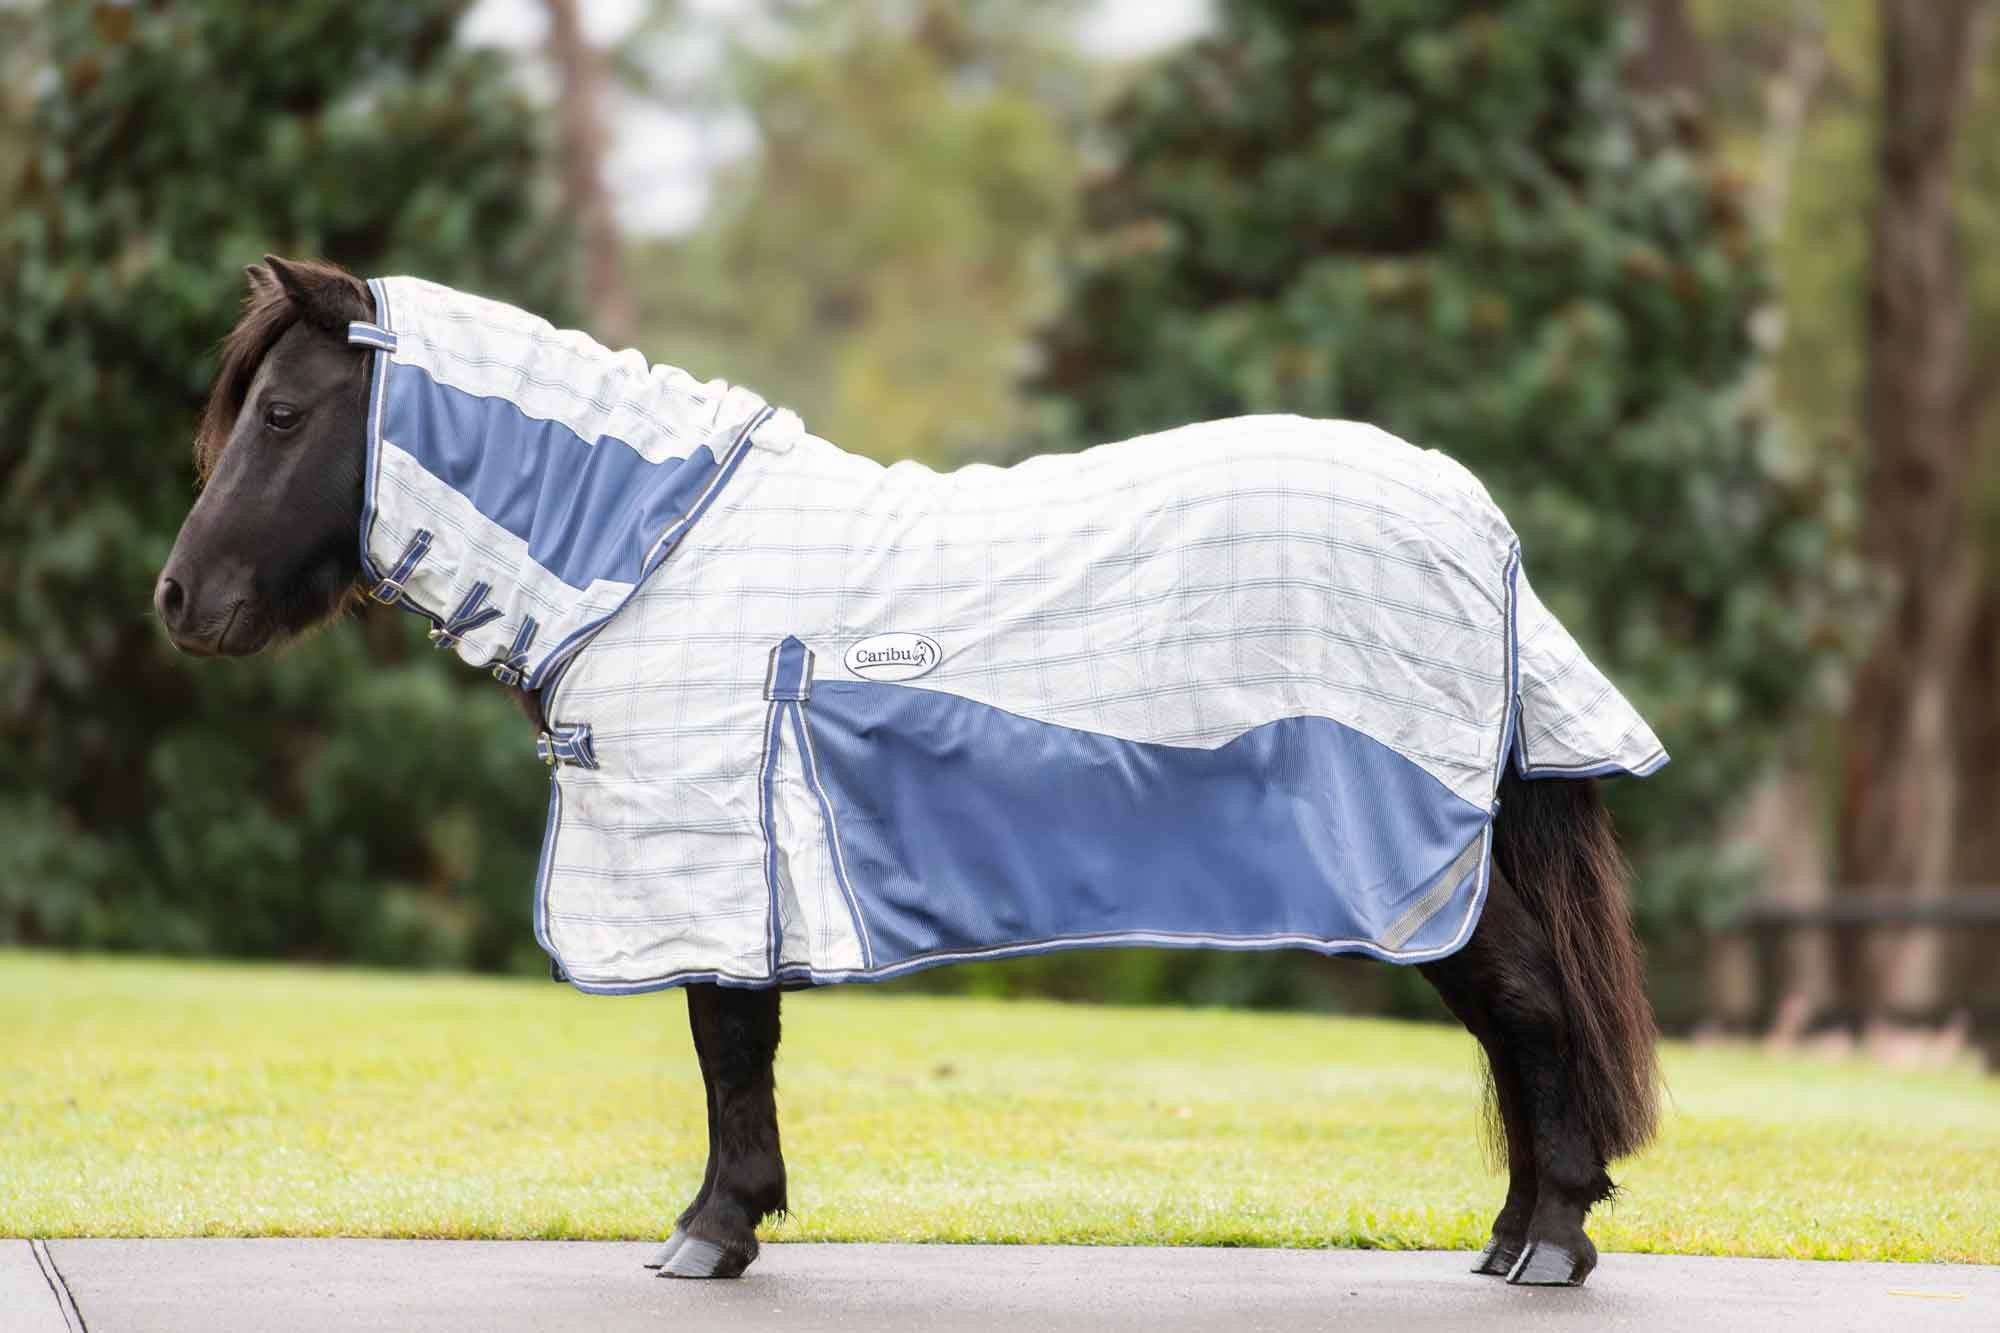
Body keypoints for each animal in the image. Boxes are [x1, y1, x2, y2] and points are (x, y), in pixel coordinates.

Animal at [156, 255, 1662, 1286]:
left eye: (281, 412)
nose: (178, 602)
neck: (652, 556)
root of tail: (1475, 523)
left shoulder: (709, 855)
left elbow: (725, 1044)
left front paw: (708, 1233)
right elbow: (739, 1045)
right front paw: (731, 1222)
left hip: (1420, 868)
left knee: (1531, 1013)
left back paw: (1546, 1244)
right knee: (1516, 1028)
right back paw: (1511, 1239)